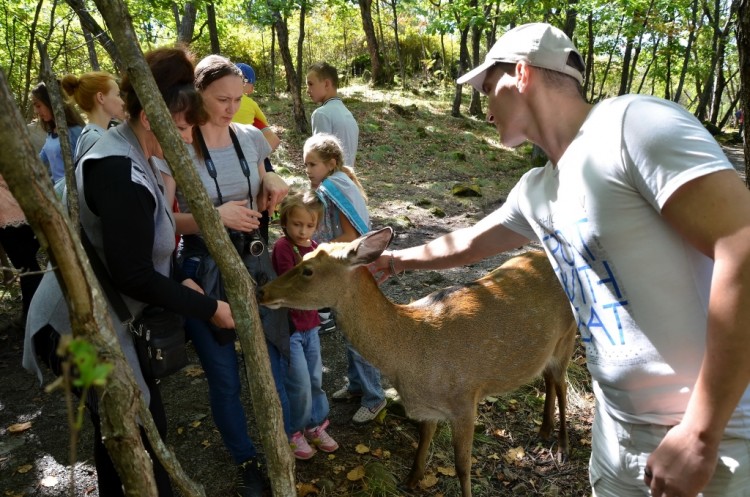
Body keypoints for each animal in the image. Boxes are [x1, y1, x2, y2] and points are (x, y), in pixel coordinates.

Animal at [258, 227, 576, 494]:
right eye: (302, 257)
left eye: (308, 270)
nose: (262, 291)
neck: (411, 357)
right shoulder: (426, 407)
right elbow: (424, 439)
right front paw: (412, 480)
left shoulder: (466, 399)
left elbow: (462, 466)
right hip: (546, 350)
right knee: (548, 377)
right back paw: (544, 431)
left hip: (568, 336)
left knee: (562, 384)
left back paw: (562, 445)